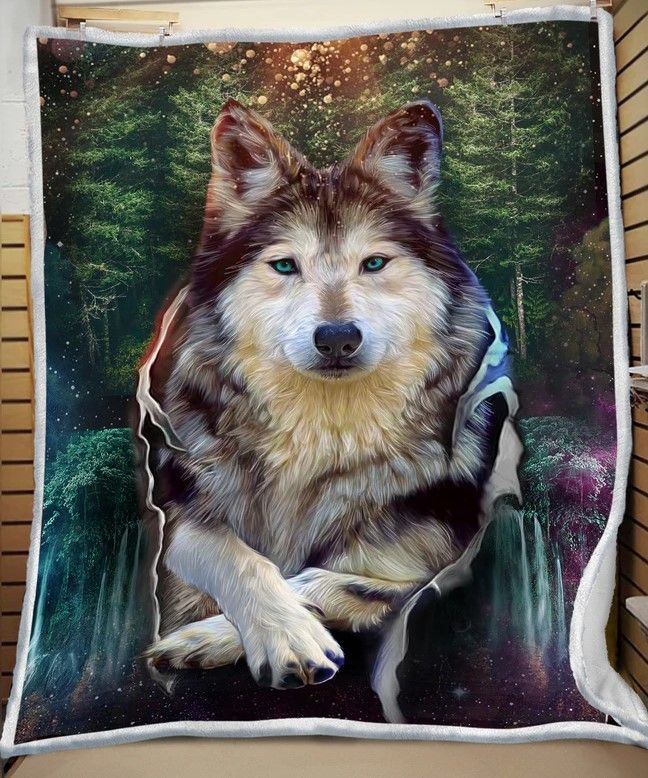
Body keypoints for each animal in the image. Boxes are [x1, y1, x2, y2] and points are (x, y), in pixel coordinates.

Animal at [138, 98, 516, 693]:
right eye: (285, 265)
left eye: (374, 263)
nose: (337, 337)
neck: (320, 441)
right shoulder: (180, 512)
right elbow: (242, 557)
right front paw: (283, 633)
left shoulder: (447, 558)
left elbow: (337, 580)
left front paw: (216, 636)